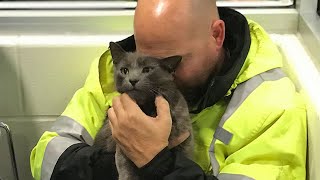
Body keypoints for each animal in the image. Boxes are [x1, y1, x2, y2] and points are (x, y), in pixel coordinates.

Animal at [92, 41, 192, 180]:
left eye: (147, 70)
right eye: (124, 70)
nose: (133, 80)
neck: (147, 107)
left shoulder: (185, 139)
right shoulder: (122, 145)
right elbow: (125, 166)